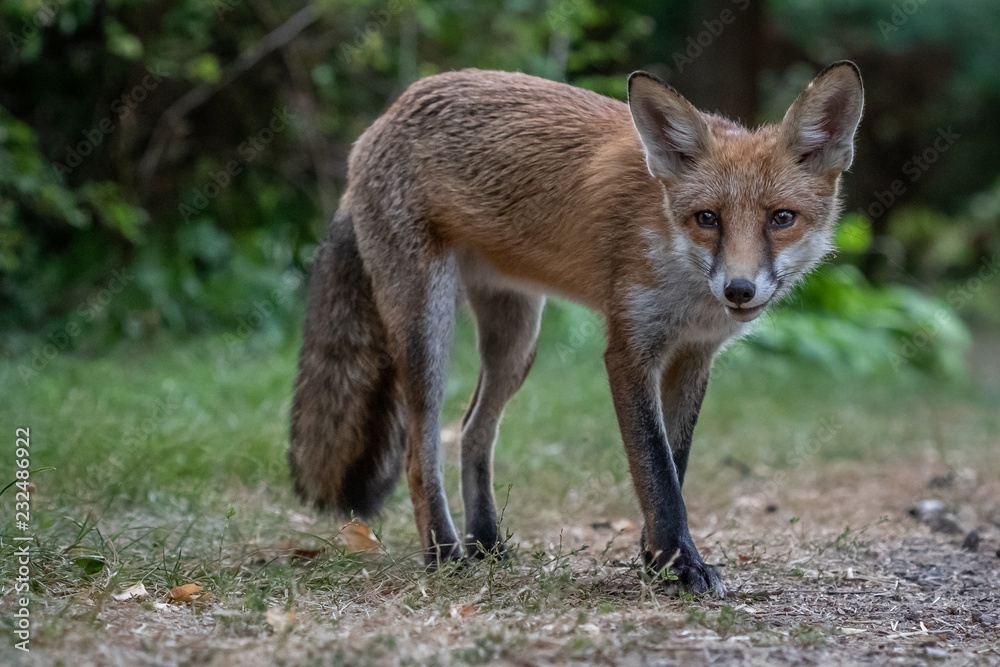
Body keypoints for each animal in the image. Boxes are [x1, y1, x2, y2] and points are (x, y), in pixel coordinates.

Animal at [289, 62, 864, 597]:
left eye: (781, 218)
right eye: (708, 218)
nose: (739, 290)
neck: (681, 274)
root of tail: (380, 122)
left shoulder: (693, 356)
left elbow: (673, 465)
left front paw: (656, 559)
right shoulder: (631, 350)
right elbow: (656, 470)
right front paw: (679, 565)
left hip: (517, 342)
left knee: (473, 429)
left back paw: (486, 543)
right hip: (427, 330)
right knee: (420, 450)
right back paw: (445, 554)